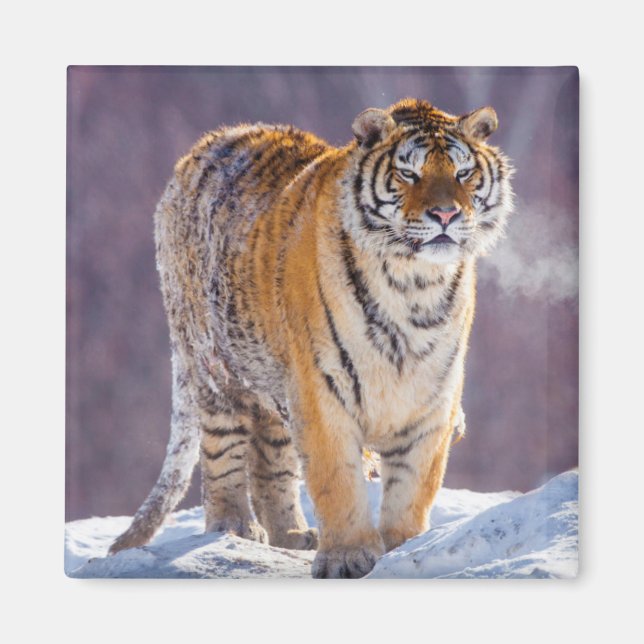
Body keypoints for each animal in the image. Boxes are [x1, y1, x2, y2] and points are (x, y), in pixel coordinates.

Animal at [108, 98, 514, 578]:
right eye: (408, 173)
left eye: (463, 173)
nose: (446, 215)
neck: (413, 285)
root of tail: (202, 148)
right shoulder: (322, 388)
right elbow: (336, 478)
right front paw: (349, 557)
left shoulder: (431, 398)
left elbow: (414, 485)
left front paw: (404, 549)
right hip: (215, 370)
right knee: (223, 453)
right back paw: (236, 528)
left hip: (273, 385)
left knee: (271, 463)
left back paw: (292, 534)